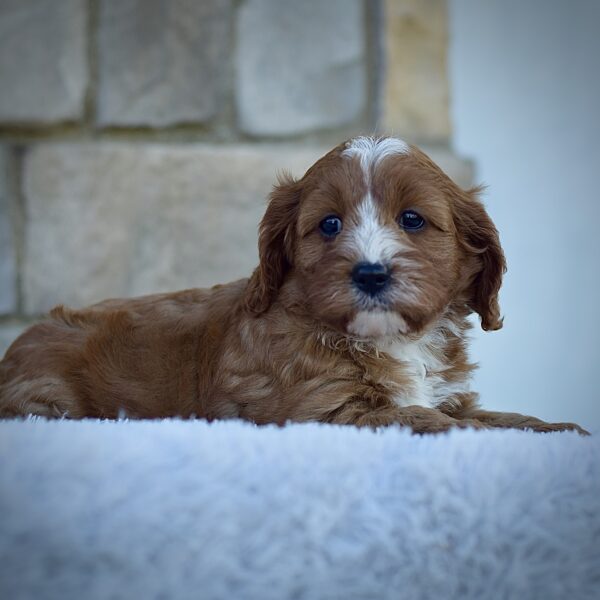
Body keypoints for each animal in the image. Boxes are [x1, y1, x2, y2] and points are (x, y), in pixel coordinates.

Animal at [0, 138, 588, 434]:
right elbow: (430, 419)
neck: (389, 339)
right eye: (328, 224)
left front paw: (557, 427)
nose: (370, 273)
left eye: (413, 219)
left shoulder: (452, 398)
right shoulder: (322, 410)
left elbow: (489, 416)